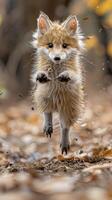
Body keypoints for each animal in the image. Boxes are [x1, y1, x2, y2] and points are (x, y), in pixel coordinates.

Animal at [32, 11, 84, 154]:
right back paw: (48, 125)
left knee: (64, 127)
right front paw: (42, 75)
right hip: (43, 96)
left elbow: (71, 75)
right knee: (47, 112)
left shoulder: (76, 75)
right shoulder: (39, 77)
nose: (57, 58)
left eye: (65, 45)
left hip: (68, 110)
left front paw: (65, 75)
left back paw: (65, 143)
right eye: (50, 45)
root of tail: (57, 105)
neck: (56, 70)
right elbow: (38, 74)